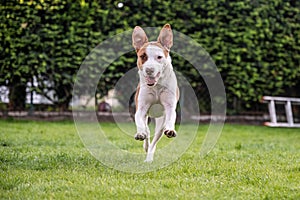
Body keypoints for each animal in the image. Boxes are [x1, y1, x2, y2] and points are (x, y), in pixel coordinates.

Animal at [132, 24, 179, 162]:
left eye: (159, 57)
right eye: (143, 56)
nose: (149, 69)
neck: (156, 86)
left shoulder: (169, 106)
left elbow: (171, 116)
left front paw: (171, 130)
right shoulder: (141, 107)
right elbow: (139, 120)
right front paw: (140, 133)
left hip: (160, 122)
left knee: (155, 140)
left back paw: (149, 157)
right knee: (147, 132)